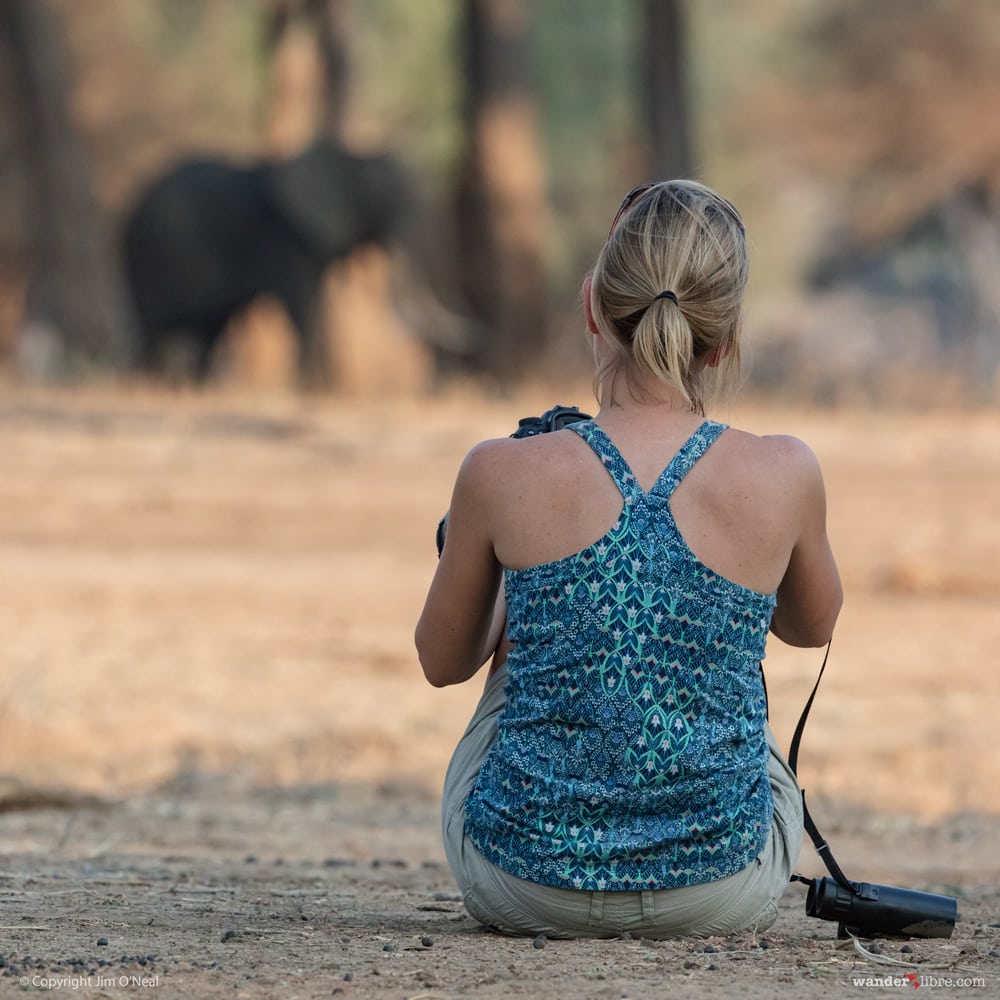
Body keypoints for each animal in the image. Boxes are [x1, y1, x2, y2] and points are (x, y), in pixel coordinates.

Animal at [120, 143, 464, 384]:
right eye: (378, 190)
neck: (349, 156)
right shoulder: (287, 238)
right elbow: (302, 304)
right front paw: (309, 388)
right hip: (142, 258)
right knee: (152, 331)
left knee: (208, 331)